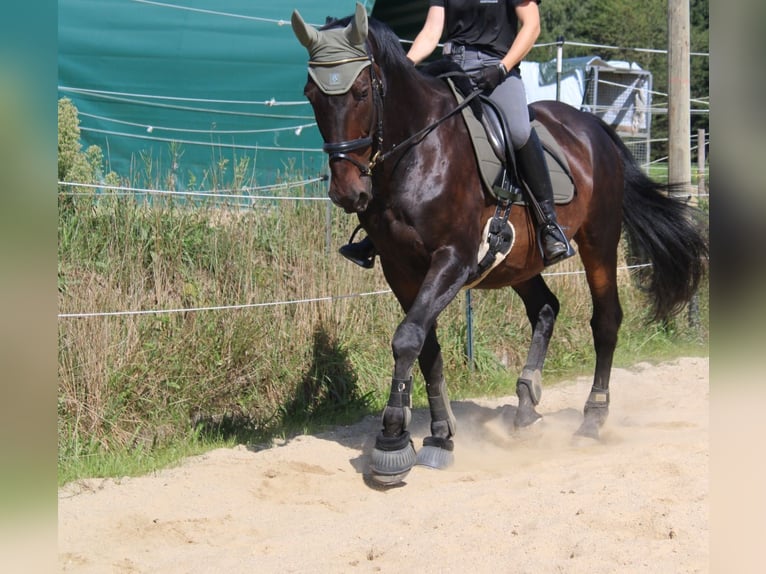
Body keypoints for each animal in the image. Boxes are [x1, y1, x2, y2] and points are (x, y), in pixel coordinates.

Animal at [291, 4, 707, 486]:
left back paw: (591, 420)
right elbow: (424, 345)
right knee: (545, 308)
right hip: (517, 261)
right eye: (310, 94)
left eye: (360, 91)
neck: (416, 153)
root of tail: (593, 126)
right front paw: (439, 437)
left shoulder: (452, 260)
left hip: (598, 242)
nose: (347, 192)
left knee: (605, 320)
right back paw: (526, 407)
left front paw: (392, 443)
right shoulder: (400, 269)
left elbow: (408, 338)